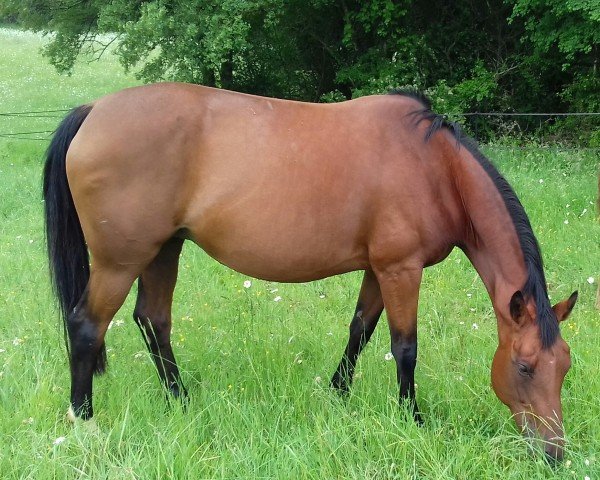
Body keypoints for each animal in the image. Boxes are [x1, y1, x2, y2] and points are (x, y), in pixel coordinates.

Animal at [42, 84, 576, 464]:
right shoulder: (401, 269)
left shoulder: (378, 269)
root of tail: (94, 109)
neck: (435, 167)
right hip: (120, 261)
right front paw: (413, 420)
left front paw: (338, 395)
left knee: (154, 321)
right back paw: (85, 421)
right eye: (524, 367)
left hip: (162, 250)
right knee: (87, 326)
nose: (553, 454)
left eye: (565, 368)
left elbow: (360, 330)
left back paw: (182, 401)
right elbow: (405, 347)